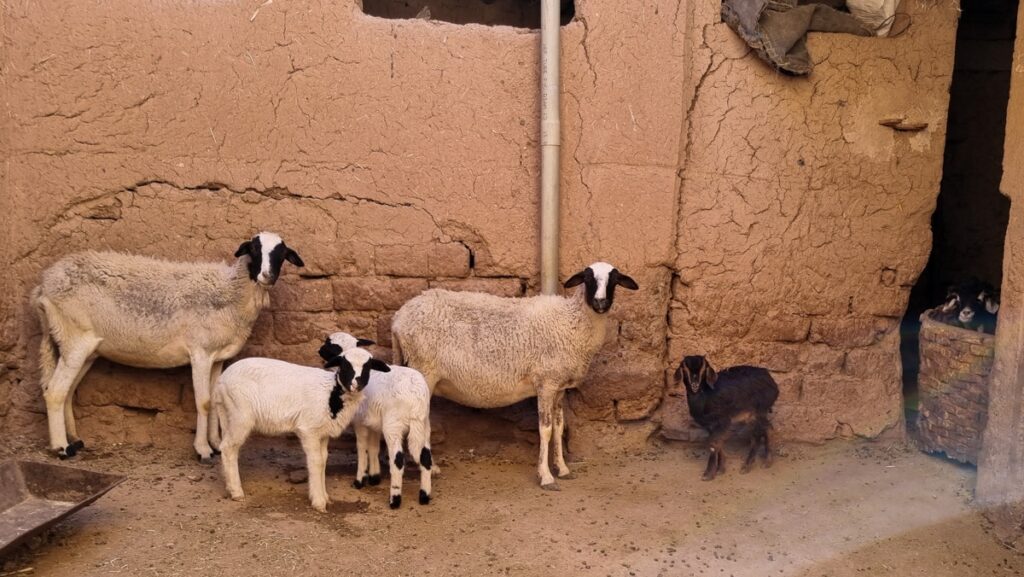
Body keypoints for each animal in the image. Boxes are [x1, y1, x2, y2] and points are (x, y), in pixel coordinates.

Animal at [31, 232, 304, 460]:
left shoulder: (217, 357)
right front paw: (203, 450)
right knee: (55, 391)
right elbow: (204, 402)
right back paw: (61, 448)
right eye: (255, 249)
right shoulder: (200, 352)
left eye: (281, 254)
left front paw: (217, 444)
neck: (230, 293)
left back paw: (74, 440)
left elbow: (215, 401)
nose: (267, 276)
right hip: (74, 338)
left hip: (86, 348)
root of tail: (43, 285)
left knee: (67, 391)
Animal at [213, 348, 391, 512]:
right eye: (344, 364)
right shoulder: (308, 429)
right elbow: (316, 462)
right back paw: (236, 492)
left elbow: (324, 460)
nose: (356, 383)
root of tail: (221, 381)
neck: (332, 395)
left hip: (228, 414)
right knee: (228, 448)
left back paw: (229, 485)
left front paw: (325, 496)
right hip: (240, 414)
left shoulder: (322, 432)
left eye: (368, 366)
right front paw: (319, 502)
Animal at [318, 332, 434, 508]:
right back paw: (424, 496)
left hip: (393, 426)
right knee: (426, 457)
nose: (319, 350)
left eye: (330, 344)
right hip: (423, 424)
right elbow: (373, 448)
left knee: (398, 461)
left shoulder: (360, 422)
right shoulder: (373, 423)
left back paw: (395, 499)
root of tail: (416, 395)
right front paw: (374, 477)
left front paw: (360, 480)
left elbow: (362, 448)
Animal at [390, 261, 639, 490]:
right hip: (424, 370)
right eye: (587, 278)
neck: (572, 320)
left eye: (614, 280)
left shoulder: (559, 387)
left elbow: (559, 427)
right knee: (419, 423)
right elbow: (545, 429)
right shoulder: (546, 382)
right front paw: (546, 476)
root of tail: (398, 318)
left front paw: (563, 469)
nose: (600, 303)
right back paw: (428, 469)